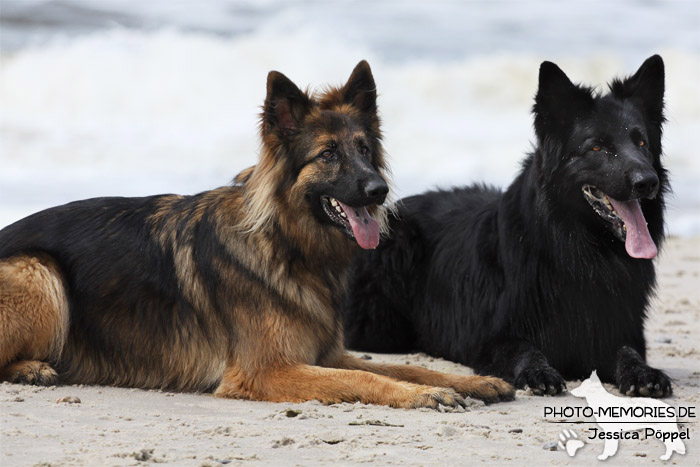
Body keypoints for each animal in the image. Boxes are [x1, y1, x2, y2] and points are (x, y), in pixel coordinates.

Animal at [344, 55, 672, 398]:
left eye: (641, 142)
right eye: (596, 147)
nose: (648, 181)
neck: (578, 250)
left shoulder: (617, 333)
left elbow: (627, 352)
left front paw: (643, 372)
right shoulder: (492, 339)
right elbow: (525, 350)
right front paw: (538, 372)